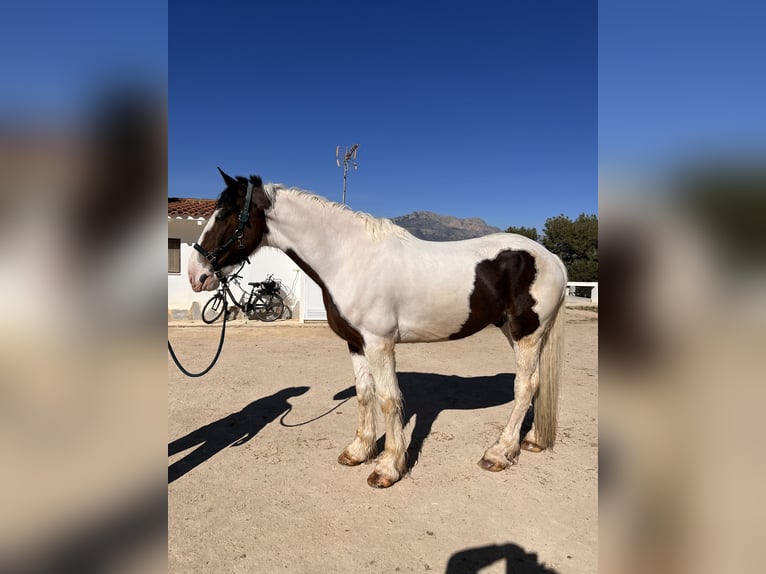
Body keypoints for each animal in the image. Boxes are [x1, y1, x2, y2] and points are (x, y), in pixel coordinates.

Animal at [188, 168, 568, 488]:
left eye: (225, 215)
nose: (196, 274)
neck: (349, 258)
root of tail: (552, 258)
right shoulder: (356, 343)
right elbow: (364, 394)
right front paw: (358, 451)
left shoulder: (379, 343)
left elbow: (388, 399)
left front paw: (388, 467)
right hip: (514, 331)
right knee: (534, 385)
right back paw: (530, 441)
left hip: (526, 333)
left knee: (525, 386)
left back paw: (499, 453)